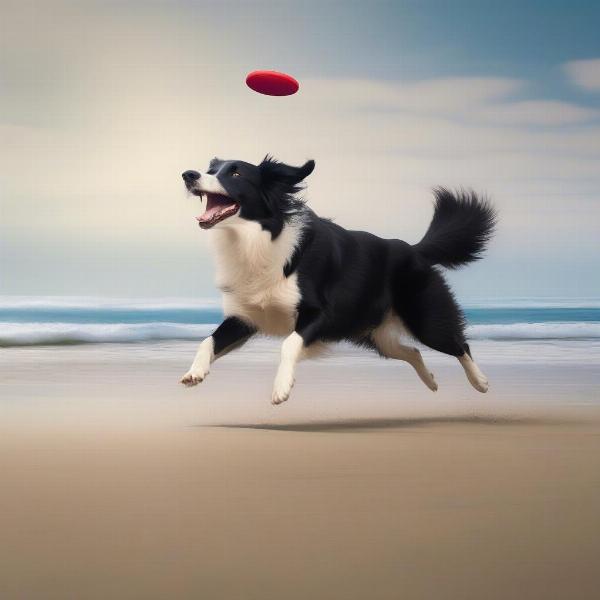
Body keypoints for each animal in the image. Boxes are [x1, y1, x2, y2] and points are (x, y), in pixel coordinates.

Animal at [179, 157, 496, 406]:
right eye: (210, 168)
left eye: (235, 174)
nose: (189, 175)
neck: (257, 239)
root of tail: (414, 249)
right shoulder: (245, 317)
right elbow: (207, 340)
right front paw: (195, 372)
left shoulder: (320, 314)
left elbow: (288, 344)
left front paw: (281, 388)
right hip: (374, 334)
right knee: (413, 351)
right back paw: (430, 380)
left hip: (425, 319)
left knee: (458, 344)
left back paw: (480, 382)